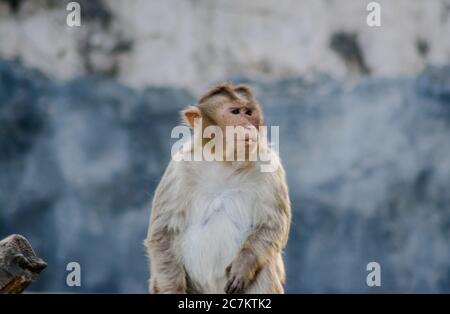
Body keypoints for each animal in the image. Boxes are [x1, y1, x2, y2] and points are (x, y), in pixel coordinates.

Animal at [145, 82, 292, 294]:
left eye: (249, 112)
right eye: (235, 112)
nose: (247, 126)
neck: (224, 161)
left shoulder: (270, 166)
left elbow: (272, 225)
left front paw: (243, 265)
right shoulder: (179, 167)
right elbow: (163, 232)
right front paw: (173, 289)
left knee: (265, 266)